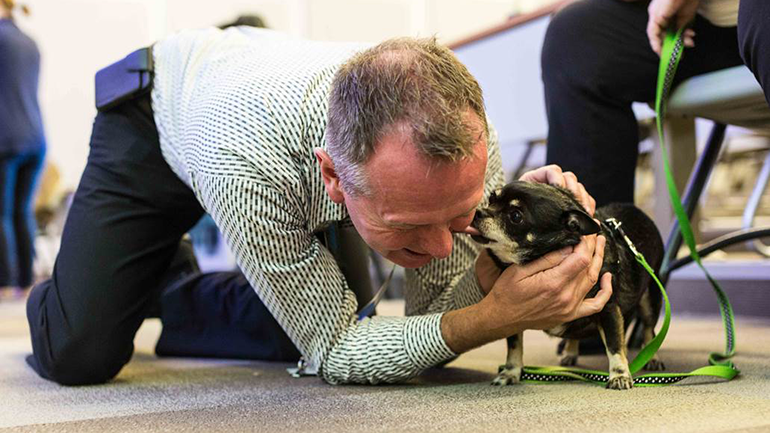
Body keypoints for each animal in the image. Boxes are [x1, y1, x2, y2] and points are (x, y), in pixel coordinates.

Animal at [472, 181, 664, 390]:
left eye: (515, 216)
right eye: (492, 198)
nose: (477, 212)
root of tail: (638, 210)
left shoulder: (608, 309)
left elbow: (614, 345)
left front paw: (619, 375)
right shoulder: (514, 317)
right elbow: (514, 346)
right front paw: (510, 372)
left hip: (650, 299)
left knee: (649, 330)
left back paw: (652, 357)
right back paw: (570, 353)